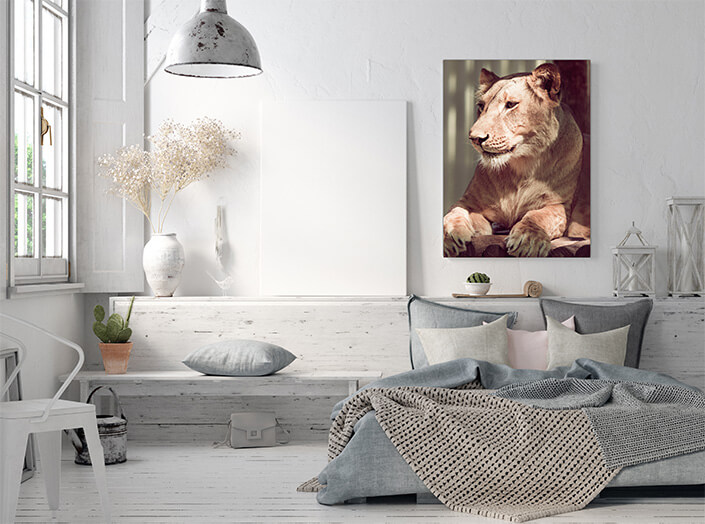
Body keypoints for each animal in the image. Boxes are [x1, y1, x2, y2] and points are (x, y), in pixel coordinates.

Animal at [443, 63, 590, 257]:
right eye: (481, 106)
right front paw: (452, 234)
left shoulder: (559, 205)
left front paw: (527, 240)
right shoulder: (468, 200)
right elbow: (454, 211)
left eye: (510, 105)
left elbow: (537, 217)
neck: (521, 167)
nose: (475, 138)